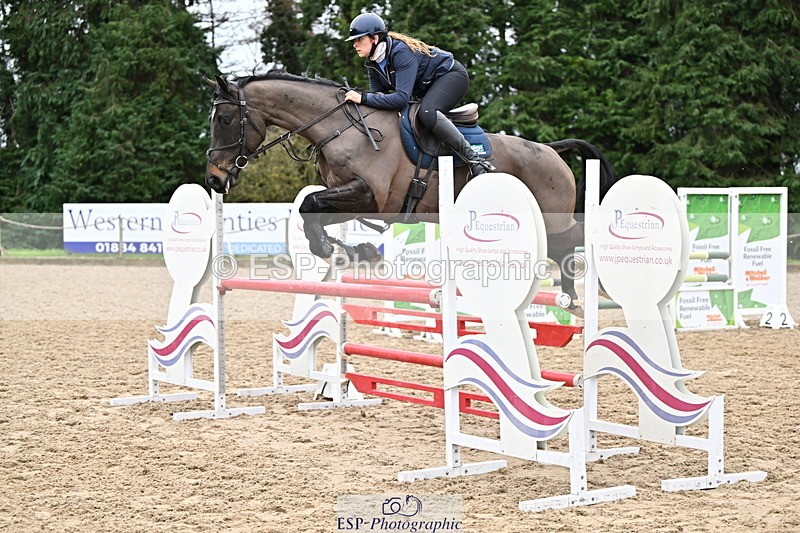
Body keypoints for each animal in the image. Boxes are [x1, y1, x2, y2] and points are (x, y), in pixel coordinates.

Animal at [204, 70, 619, 307]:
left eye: (223, 119)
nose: (214, 179)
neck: (339, 127)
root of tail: (551, 151)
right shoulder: (348, 197)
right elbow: (312, 210)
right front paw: (351, 251)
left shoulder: (369, 196)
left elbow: (310, 205)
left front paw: (338, 250)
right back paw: (571, 297)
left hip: (552, 221)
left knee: (574, 241)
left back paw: (580, 292)